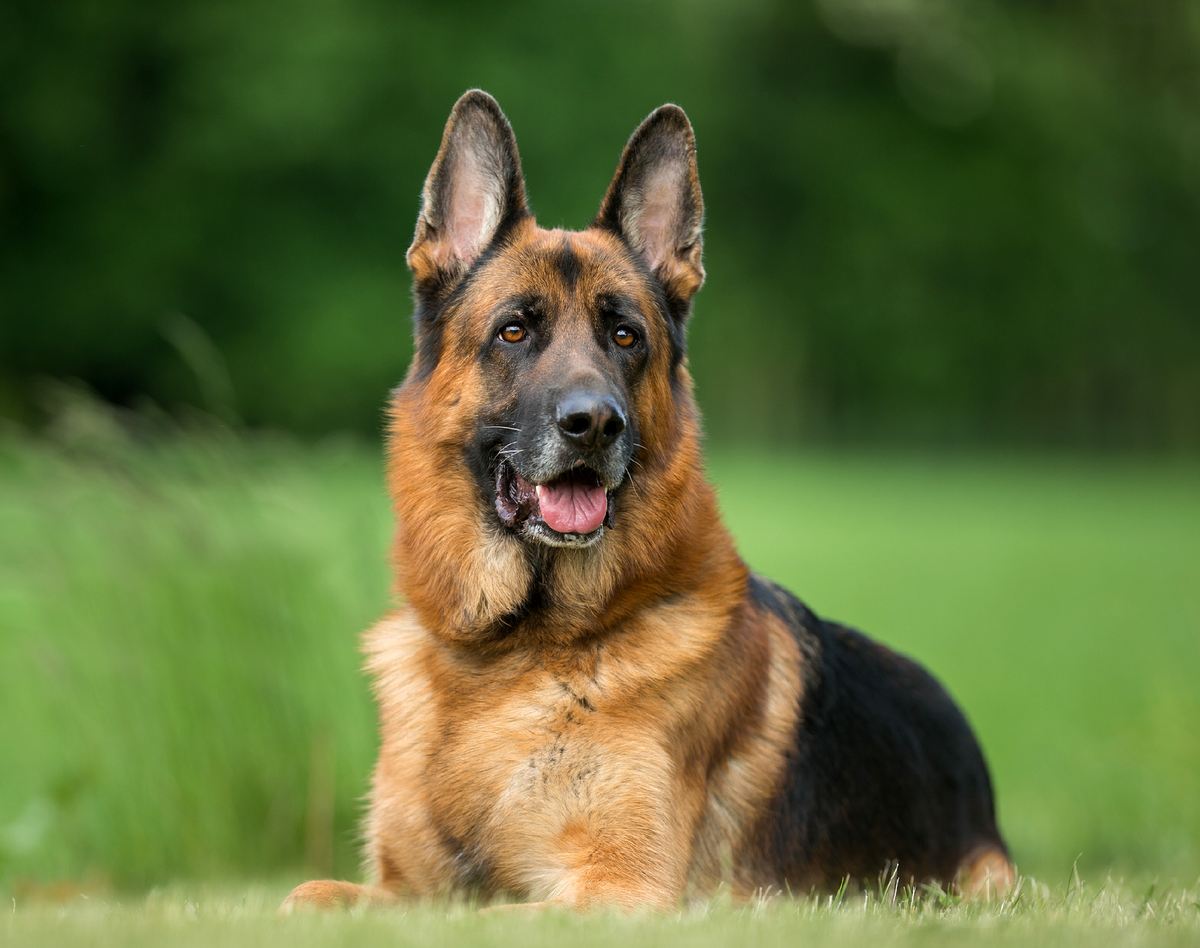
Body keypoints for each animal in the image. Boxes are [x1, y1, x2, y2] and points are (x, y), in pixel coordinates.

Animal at [280, 91, 1012, 912]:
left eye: (626, 336)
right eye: (513, 330)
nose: (595, 423)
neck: (508, 657)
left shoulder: (617, 886)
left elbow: (502, 908)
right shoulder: (406, 888)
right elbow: (308, 892)